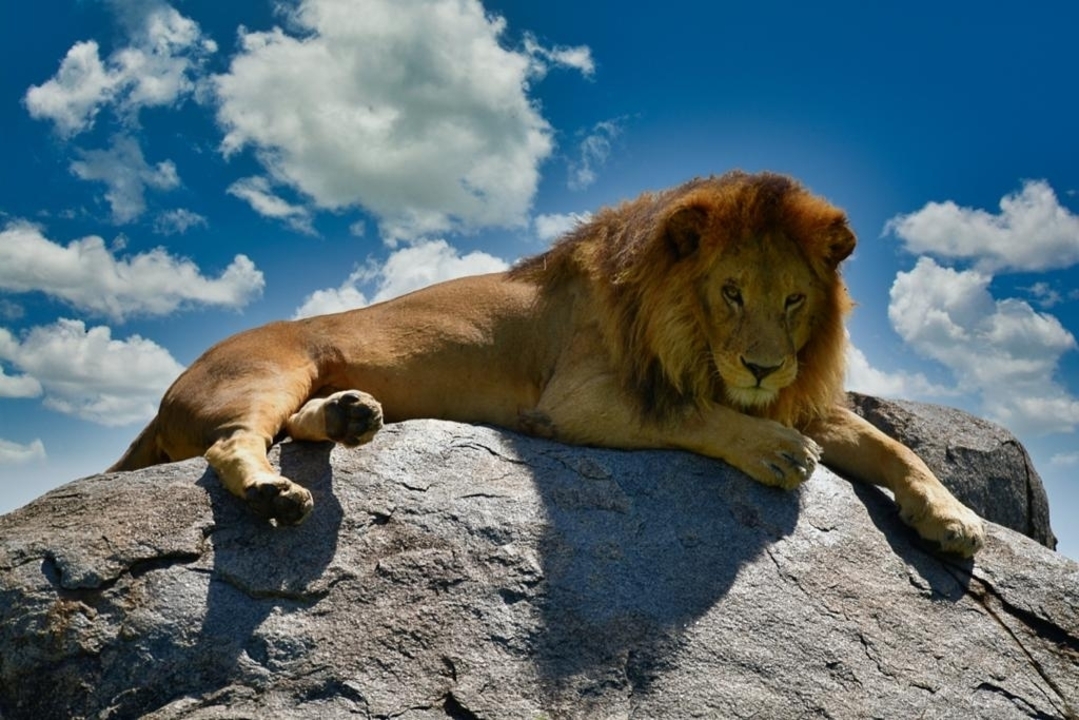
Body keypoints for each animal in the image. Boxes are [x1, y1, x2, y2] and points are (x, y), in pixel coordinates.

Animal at [109, 171, 985, 556]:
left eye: (795, 299)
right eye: (731, 292)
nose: (764, 367)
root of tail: (162, 399)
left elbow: (892, 446)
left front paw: (950, 517)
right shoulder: (576, 398)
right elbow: (688, 411)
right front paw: (774, 452)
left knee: (296, 425)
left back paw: (353, 415)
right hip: (267, 367)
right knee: (234, 442)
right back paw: (273, 494)